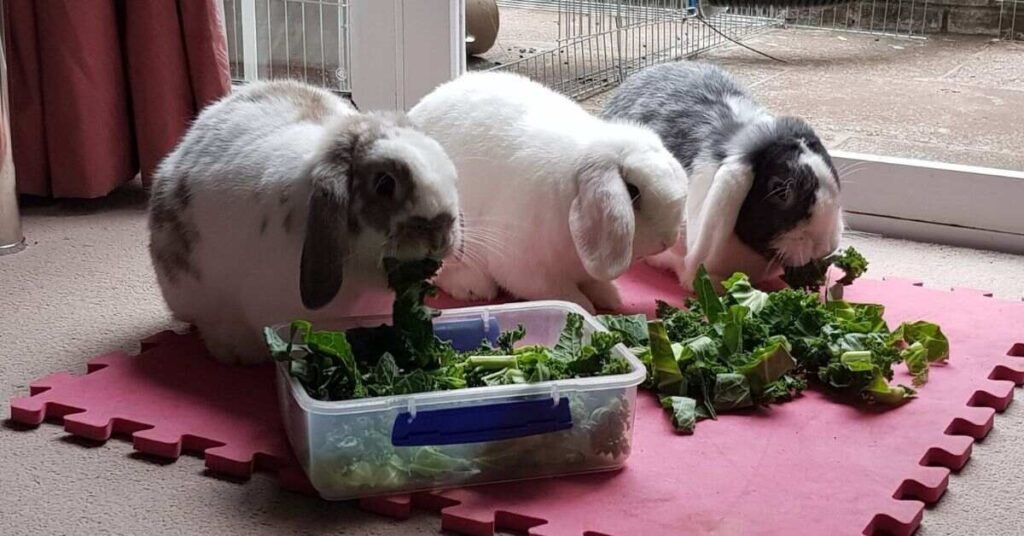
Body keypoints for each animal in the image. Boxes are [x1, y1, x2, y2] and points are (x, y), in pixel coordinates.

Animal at [408, 71, 687, 313]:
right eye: (632, 191)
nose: (668, 240)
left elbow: (595, 283)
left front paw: (610, 296)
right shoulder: (530, 273)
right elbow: (565, 295)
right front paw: (586, 307)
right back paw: (472, 288)